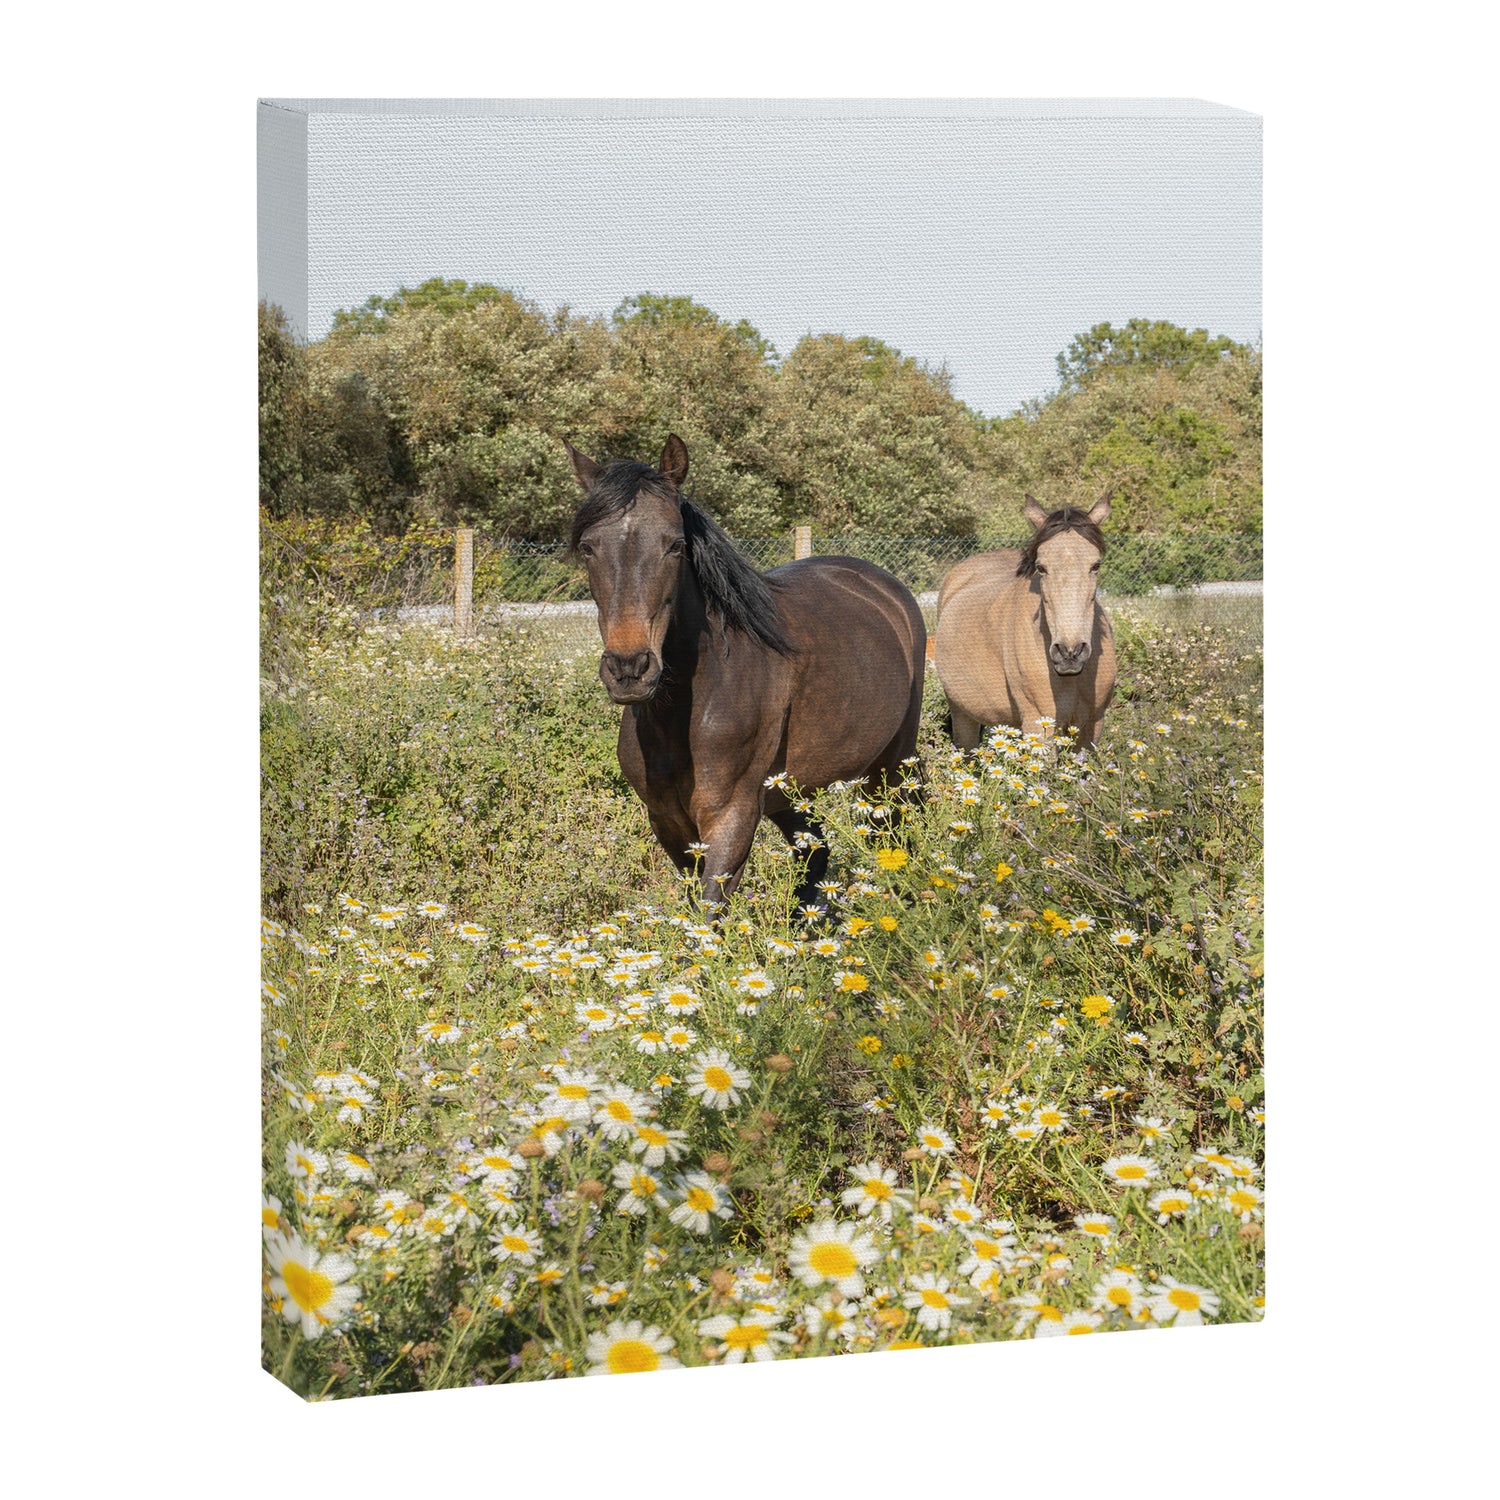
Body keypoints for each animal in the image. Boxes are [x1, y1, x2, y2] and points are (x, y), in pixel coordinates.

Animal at [564, 434, 927, 908]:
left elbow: (709, 915)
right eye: (589, 547)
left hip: (889, 768)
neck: (687, 709)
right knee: (815, 855)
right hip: (789, 792)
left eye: (675, 545)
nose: (629, 668)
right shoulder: (669, 823)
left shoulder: (731, 818)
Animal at [933, 495, 1117, 749]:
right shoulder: (1039, 725)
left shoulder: (1092, 726)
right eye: (1041, 567)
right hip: (962, 714)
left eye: (1095, 565)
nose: (1070, 653)